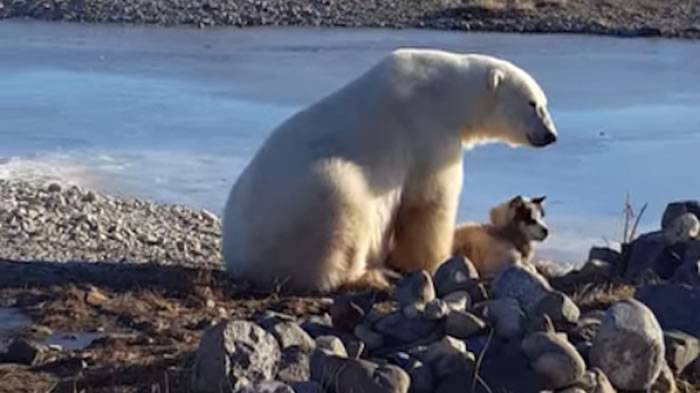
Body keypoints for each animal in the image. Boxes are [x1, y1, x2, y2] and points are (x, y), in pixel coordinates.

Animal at [223, 48, 556, 290]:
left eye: (544, 103)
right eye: (533, 103)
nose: (551, 135)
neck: (446, 92)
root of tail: (240, 261)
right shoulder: (427, 131)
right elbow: (429, 202)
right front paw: (434, 261)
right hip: (305, 202)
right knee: (341, 206)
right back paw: (370, 275)